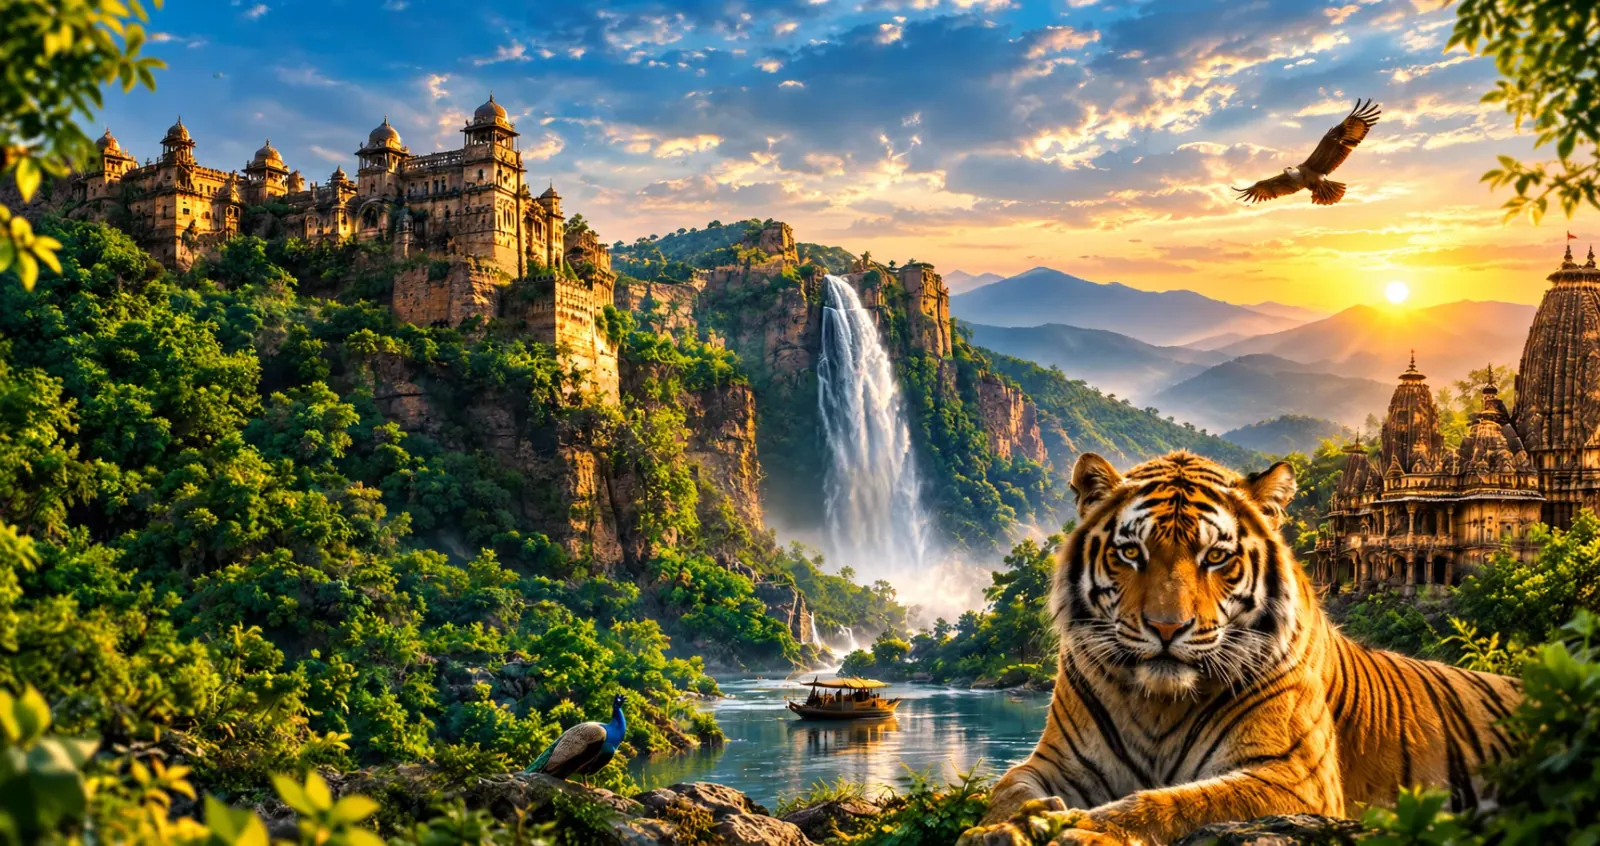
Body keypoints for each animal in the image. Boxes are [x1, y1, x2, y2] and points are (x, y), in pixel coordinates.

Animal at [959, 451, 1522, 846]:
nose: (1167, 627)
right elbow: (1007, 789)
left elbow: (1179, 803)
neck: (1157, 705)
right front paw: (1005, 828)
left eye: (1216, 557)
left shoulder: (1293, 778)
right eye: (1131, 552)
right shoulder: (1057, 763)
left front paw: (1088, 830)